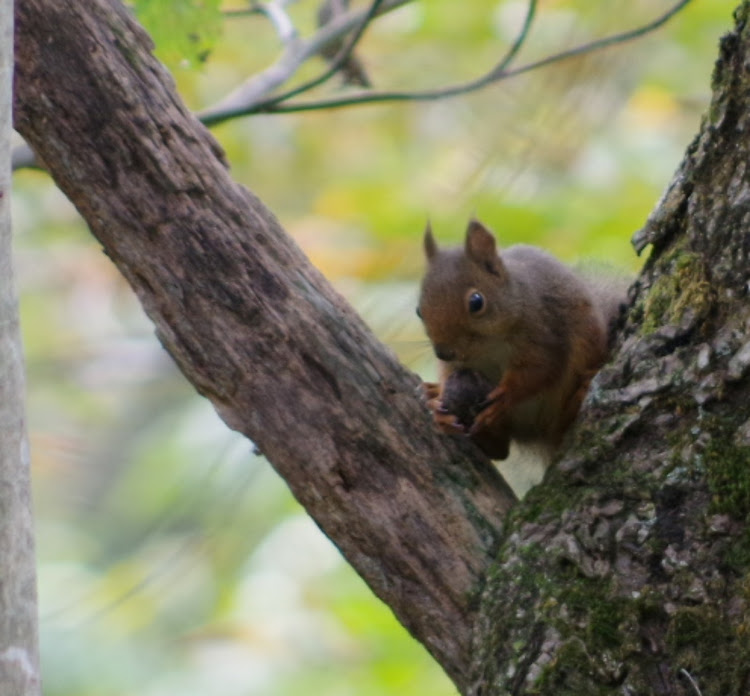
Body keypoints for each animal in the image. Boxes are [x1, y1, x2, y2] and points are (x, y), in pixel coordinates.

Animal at [418, 220, 624, 462]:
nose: (443, 353)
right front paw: (439, 404)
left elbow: (540, 369)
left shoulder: (543, 331)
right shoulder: (457, 364)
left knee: (562, 423)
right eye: (419, 310)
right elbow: (448, 373)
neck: (488, 346)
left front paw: (506, 395)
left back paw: (579, 395)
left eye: (476, 302)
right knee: (500, 451)